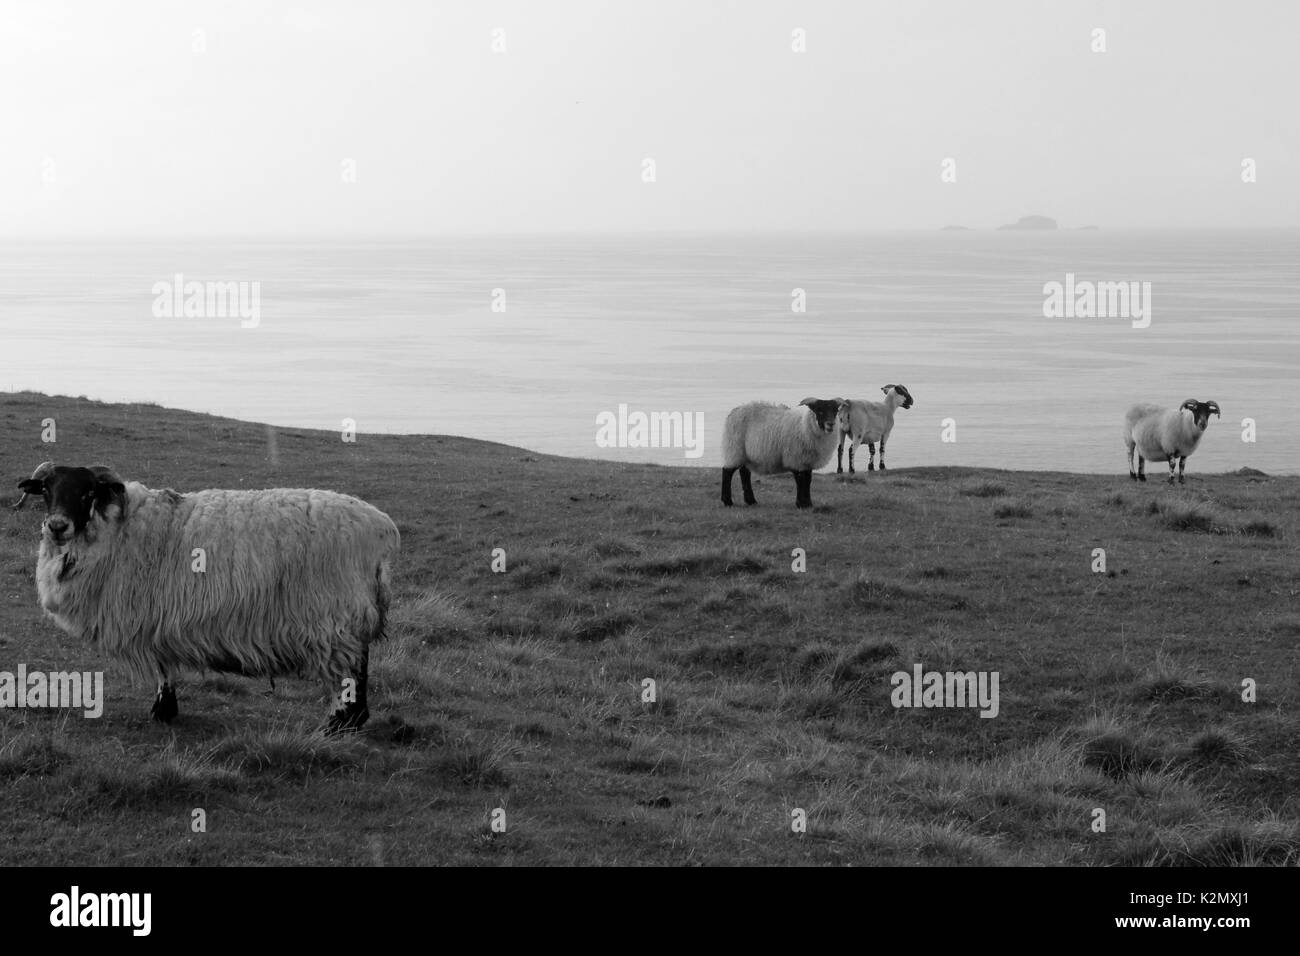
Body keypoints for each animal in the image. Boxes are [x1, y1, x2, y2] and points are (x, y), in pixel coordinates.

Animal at [15, 463, 397, 733]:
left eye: (88, 492)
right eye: (46, 489)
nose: (56, 526)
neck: (117, 528)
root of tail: (383, 529)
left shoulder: (151, 615)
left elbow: (162, 667)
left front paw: (162, 710)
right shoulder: (159, 617)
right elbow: (165, 665)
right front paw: (165, 709)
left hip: (334, 617)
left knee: (349, 674)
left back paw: (338, 725)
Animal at [717, 400, 847, 512]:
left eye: (835, 411)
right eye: (819, 411)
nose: (830, 424)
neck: (804, 426)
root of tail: (735, 411)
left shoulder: (806, 461)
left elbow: (807, 480)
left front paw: (808, 504)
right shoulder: (795, 459)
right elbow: (800, 481)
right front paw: (801, 504)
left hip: (747, 455)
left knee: (744, 473)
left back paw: (751, 501)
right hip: (734, 449)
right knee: (727, 472)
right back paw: (727, 501)